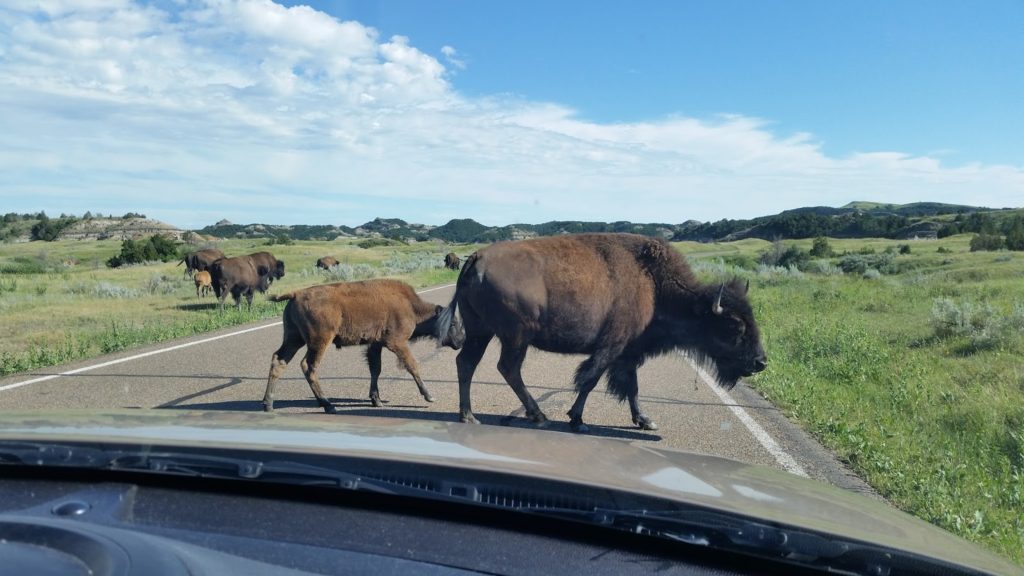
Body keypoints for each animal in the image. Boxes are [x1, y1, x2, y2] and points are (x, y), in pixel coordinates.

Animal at [262, 278, 466, 412]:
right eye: (453, 323)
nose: (462, 341)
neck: (411, 307)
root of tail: (296, 294)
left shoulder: (375, 344)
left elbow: (375, 369)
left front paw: (376, 400)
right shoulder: (396, 343)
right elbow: (412, 366)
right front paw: (429, 396)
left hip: (293, 339)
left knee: (279, 360)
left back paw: (268, 404)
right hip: (319, 341)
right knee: (308, 366)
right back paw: (327, 404)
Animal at [436, 231, 765, 430]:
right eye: (735, 325)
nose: (760, 361)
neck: (653, 284)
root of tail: (476, 258)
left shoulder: (627, 353)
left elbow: (631, 387)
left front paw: (645, 420)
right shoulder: (611, 348)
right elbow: (591, 381)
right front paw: (577, 419)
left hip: (481, 332)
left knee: (467, 363)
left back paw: (468, 416)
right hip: (516, 337)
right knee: (507, 368)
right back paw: (538, 416)